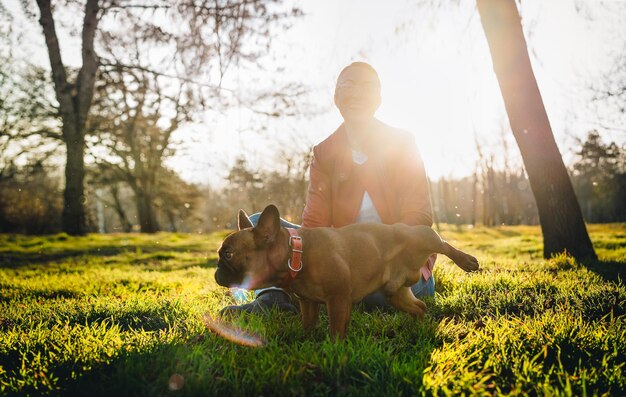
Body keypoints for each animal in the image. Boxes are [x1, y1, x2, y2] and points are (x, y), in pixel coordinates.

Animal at [214, 204, 478, 338]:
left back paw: (467, 261)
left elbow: (336, 328)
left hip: (422, 236)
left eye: (228, 255)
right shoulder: (308, 302)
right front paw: (305, 339)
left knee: (444, 244)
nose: (216, 271)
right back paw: (419, 326)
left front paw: (334, 348)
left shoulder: (338, 299)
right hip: (395, 294)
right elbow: (308, 323)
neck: (296, 253)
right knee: (420, 307)